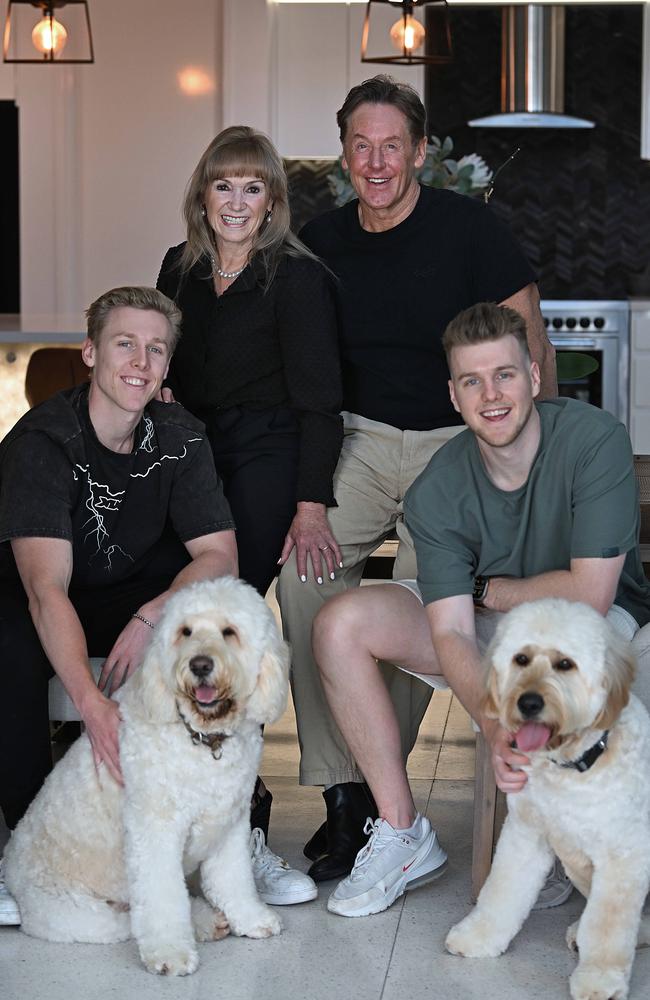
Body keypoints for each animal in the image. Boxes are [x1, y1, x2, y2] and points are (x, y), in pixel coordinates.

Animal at [4, 576, 288, 972]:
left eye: (229, 632)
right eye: (185, 631)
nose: (200, 665)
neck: (200, 738)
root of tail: (10, 868)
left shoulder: (229, 824)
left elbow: (234, 880)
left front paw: (252, 918)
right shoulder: (156, 832)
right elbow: (162, 899)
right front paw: (170, 953)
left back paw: (205, 920)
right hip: (80, 915)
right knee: (131, 919)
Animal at [448, 596, 650, 996]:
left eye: (565, 664)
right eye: (521, 658)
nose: (528, 703)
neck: (572, 767)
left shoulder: (624, 858)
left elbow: (608, 927)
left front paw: (600, 979)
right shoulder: (526, 836)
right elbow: (501, 891)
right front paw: (478, 937)